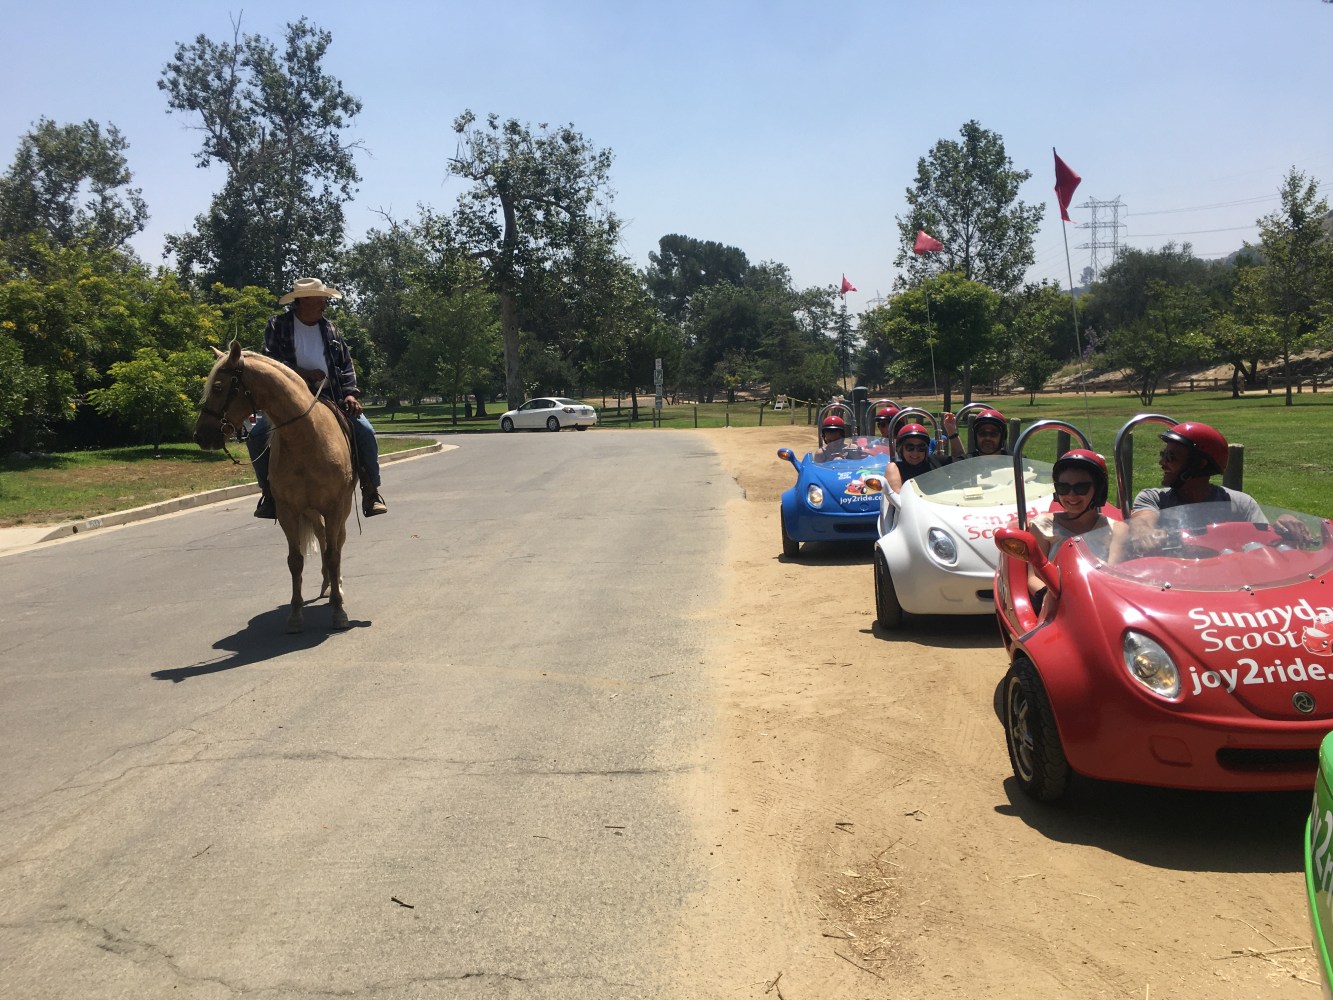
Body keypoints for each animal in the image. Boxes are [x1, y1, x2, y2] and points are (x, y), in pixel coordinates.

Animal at [194, 341, 357, 629]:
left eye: (218, 387)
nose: (200, 435)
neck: (306, 437)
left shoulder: (335, 507)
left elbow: (334, 553)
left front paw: (338, 611)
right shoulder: (288, 511)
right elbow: (295, 560)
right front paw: (295, 615)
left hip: (340, 509)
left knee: (336, 542)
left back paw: (335, 586)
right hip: (311, 511)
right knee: (322, 538)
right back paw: (326, 584)